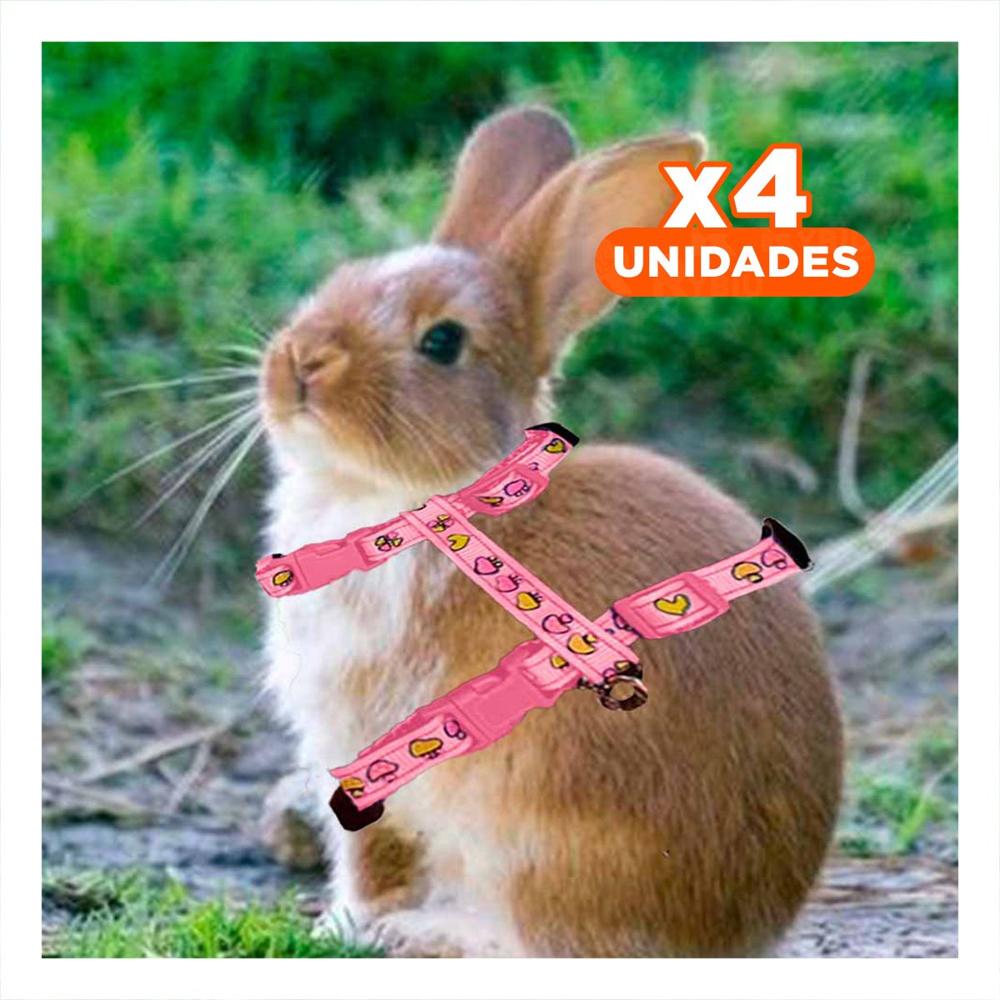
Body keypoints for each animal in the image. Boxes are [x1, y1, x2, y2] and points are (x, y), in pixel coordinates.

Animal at [260, 106, 842, 957]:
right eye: (342, 279)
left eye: (442, 342)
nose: (301, 361)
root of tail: (724, 932)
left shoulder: (372, 747)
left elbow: (372, 857)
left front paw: (347, 925)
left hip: (532, 841)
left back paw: (428, 933)